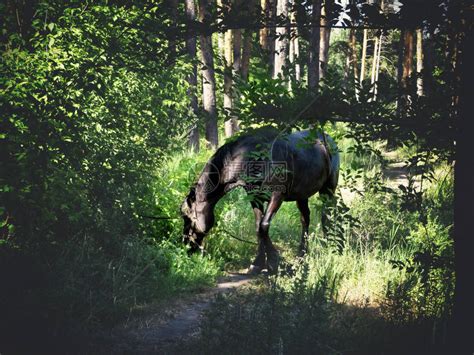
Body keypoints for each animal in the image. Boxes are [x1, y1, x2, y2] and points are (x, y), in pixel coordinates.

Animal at [180, 126, 338, 274]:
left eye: (187, 217)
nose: (185, 245)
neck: (258, 158)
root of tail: (327, 140)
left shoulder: (277, 196)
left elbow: (264, 225)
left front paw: (273, 262)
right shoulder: (255, 197)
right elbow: (258, 227)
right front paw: (258, 263)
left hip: (328, 190)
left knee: (327, 215)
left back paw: (328, 247)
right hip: (302, 195)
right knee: (305, 219)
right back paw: (301, 256)